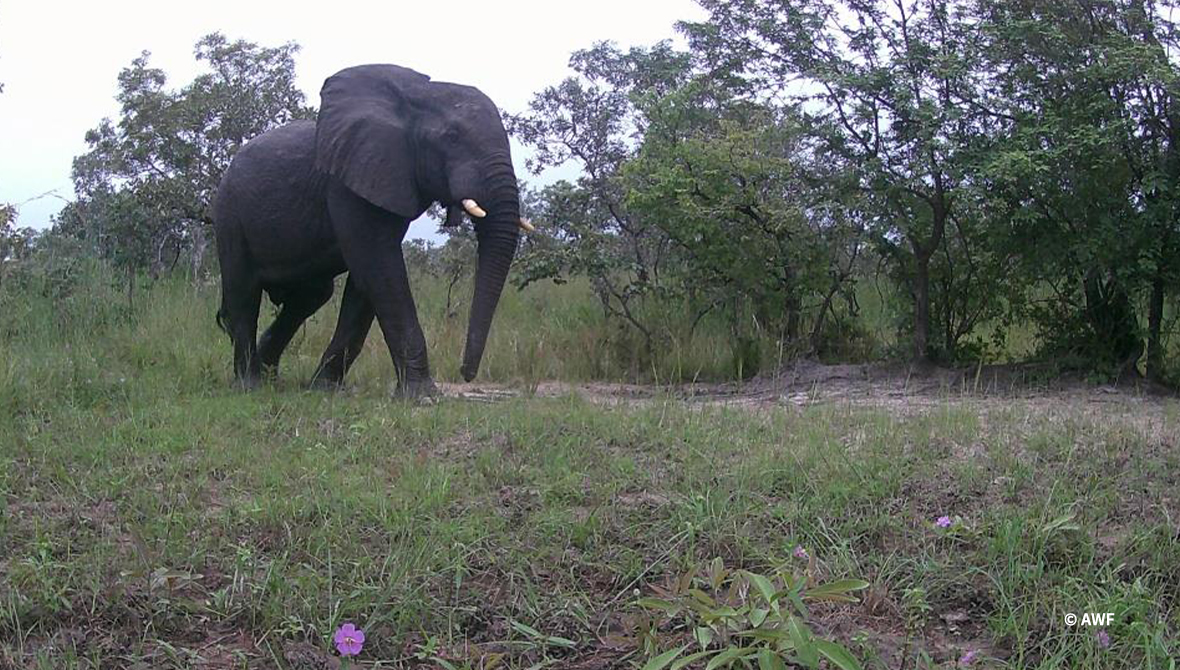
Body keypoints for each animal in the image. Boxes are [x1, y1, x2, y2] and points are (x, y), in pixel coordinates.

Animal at [214, 64, 533, 396]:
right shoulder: (348, 181)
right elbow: (380, 267)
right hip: (229, 214)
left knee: (311, 296)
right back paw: (250, 385)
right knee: (244, 293)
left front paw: (325, 390)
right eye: (452, 137)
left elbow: (368, 280)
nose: (466, 373)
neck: (416, 96)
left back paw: (269, 377)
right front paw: (423, 397)